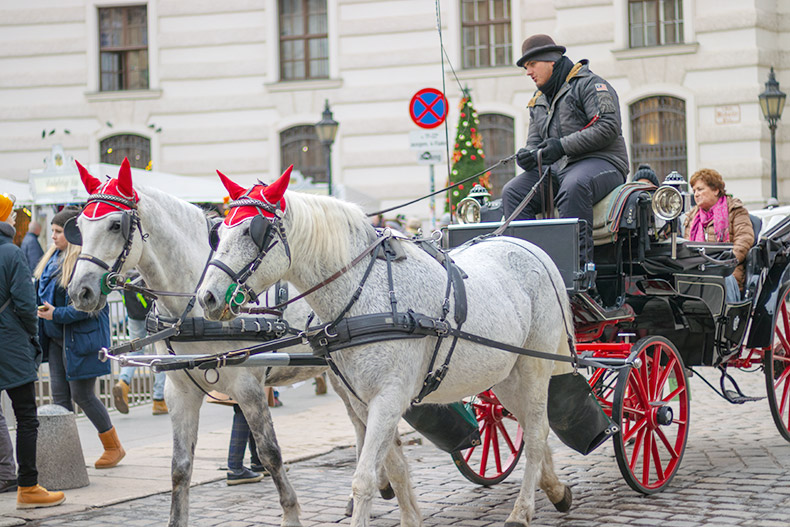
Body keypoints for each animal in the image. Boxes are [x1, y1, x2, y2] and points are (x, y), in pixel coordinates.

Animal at [66, 162, 402, 527]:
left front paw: (291, 513)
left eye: (116, 225)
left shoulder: (247, 385)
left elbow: (270, 454)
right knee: (359, 423)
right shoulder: (179, 391)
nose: (79, 292)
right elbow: (179, 467)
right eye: (79, 226)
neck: (193, 303)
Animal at [198, 171, 580, 524]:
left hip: (535, 364)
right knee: (528, 424)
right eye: (218, 233)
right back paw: (554, 489)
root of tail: (531, 248)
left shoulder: (390, 396)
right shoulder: (364, 400)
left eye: (252, 232)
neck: (365, 295)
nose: (207, 297)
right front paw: (410, 518)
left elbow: (364, 478)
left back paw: (522, 510)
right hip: (504, 372)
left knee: (536, 431)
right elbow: (394, 467)